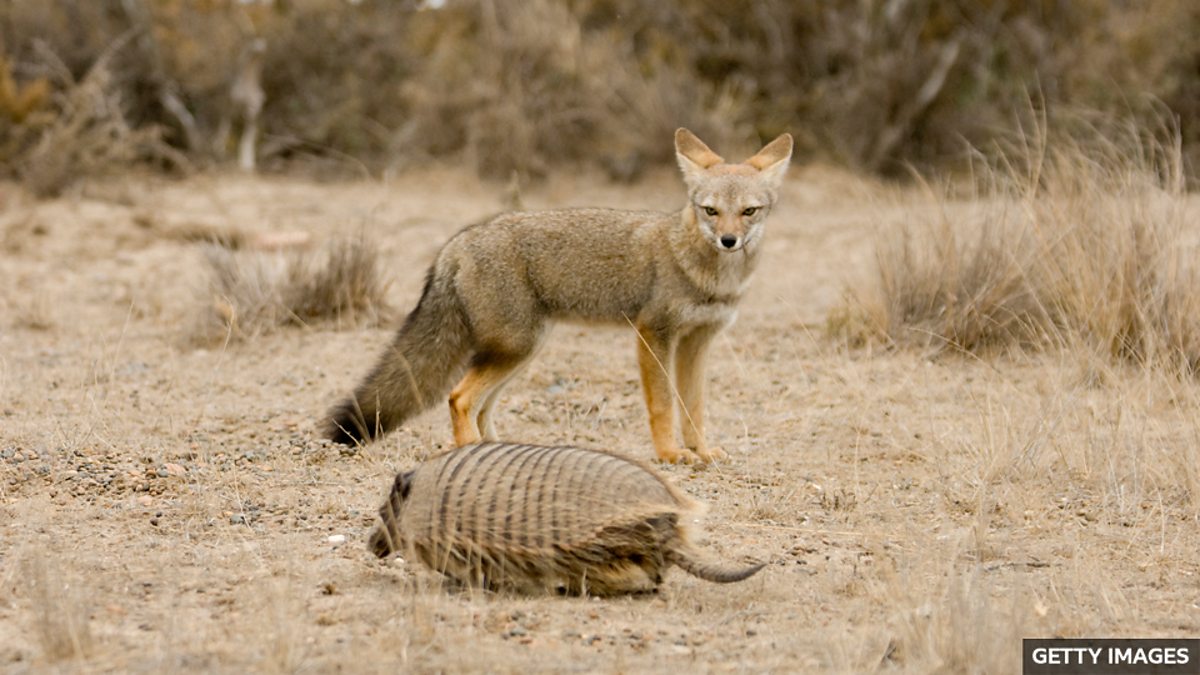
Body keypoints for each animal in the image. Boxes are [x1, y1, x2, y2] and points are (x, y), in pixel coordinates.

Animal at [324, 128, 793, 463]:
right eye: (710, 210)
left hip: (521, 350)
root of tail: (457, 243)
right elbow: (662, 405)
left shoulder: (698, 341)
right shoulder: (653, 333)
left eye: (749, 211)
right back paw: (471, 452)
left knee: (480, 406)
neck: (711, 274)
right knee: (460, 398)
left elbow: (694, 406)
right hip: (516, 347)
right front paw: (671, 455)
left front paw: (701, 451)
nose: (729, 240)